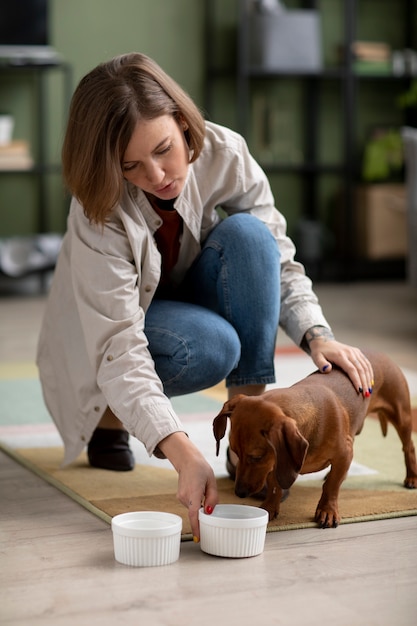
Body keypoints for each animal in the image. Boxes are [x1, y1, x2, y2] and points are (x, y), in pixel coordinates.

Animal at [213, 348, 414, 524]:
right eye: (235, 452)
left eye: (256, 457)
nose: (239, 493)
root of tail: (380, 353)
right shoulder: (277, 461)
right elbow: (275, 485)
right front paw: (270, 507)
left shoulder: (345, 453)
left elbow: (332, 485)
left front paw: (327, 510)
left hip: (401, 416)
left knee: (408, 447)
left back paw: (412, 478)